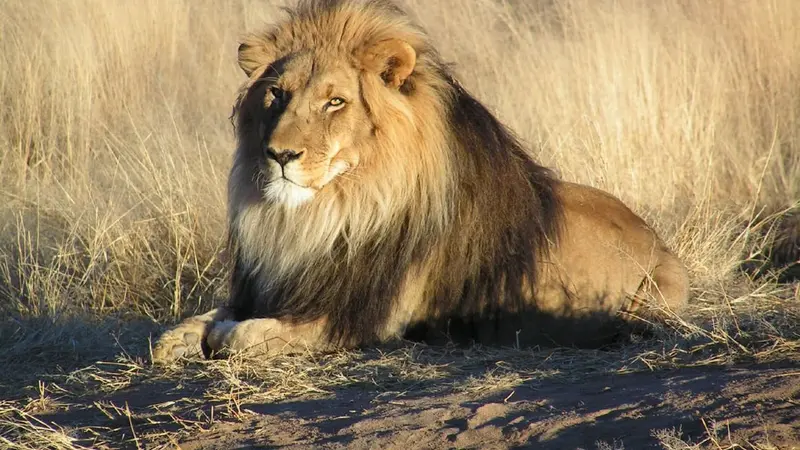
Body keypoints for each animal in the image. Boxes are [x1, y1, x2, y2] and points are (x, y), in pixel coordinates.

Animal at [152, 0, 689, 363]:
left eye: (335, 102)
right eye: (276, 95)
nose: (280, 155)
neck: (330, 213)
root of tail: (656, 237)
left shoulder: (362, 318)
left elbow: (242, 334)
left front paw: (221, 337)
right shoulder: (273, 288)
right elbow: (194, 323)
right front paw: (179, 338)